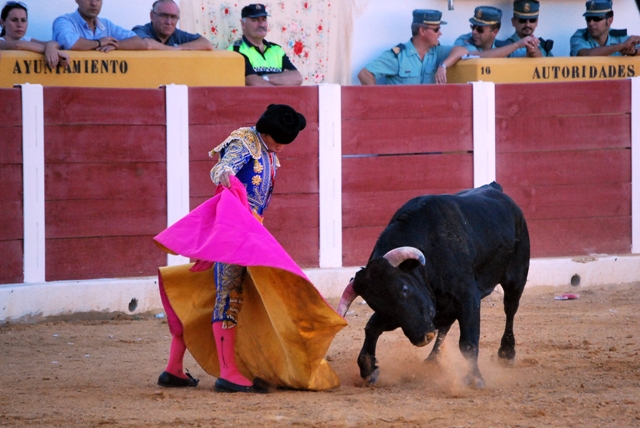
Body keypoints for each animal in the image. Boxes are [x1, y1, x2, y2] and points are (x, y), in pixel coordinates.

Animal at [336, 181, 528, 388]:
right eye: (379, 305)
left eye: (405, 289)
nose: (423, 338)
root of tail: (495, 188)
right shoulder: (403, 316)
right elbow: (372, 327)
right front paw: (369, 369)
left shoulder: (468, 296)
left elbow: (468, 342)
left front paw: (475, 378)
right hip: (446, 307)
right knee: (445, 325)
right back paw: (433, 359)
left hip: (517, 277)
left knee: (510, 309)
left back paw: (506, 354)